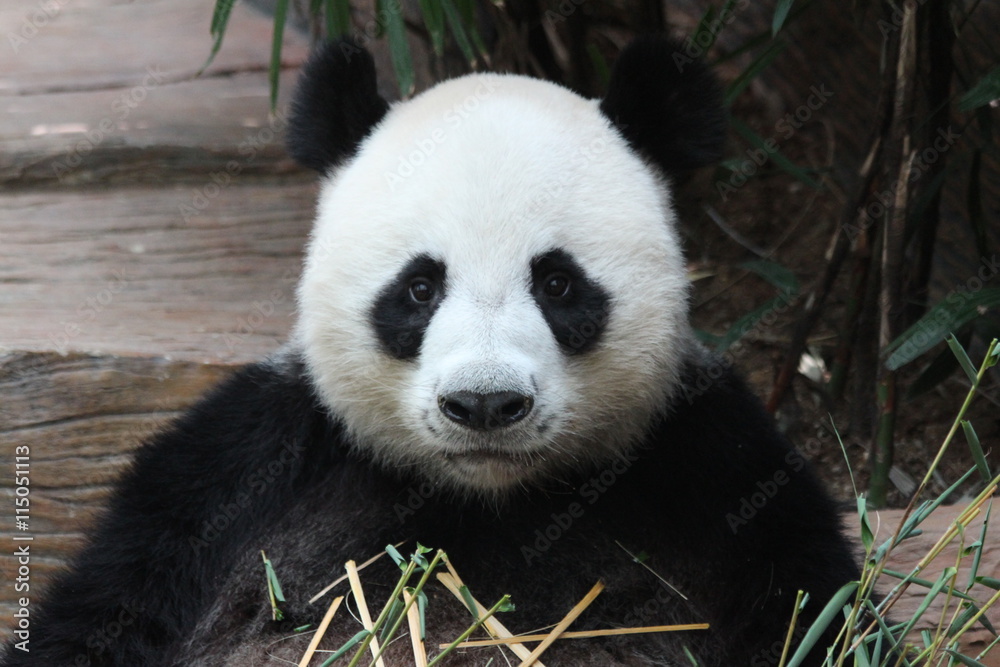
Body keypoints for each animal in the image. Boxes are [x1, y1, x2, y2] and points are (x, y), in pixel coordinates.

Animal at [3, 37, 860, 666]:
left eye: (557, 282)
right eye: (419, 288)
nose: (485, 403)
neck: (489, 497)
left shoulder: (707, 462)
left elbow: (805, 614)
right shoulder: (237, 471)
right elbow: (108, 609)